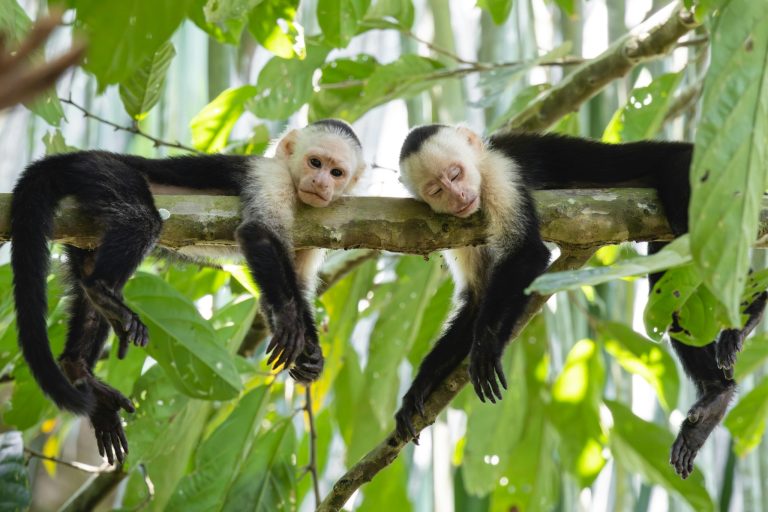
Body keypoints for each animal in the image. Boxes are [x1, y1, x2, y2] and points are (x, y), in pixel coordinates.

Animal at [10, 119, 366, 464]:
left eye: (336, 173)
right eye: (314, 162)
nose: (320, 182)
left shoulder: (318, 221)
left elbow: (291, 289)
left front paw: (310, 354)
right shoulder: (270, 176)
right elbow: (259, 232)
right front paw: (291, 323)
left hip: (82, 232)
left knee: (87, 275)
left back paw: (78, 366)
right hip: (100, 171)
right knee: (141, 218)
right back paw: (103, 292)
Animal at [393, 124, 767, 479]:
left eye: (456, 174)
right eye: (436, 190)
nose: (458, 196)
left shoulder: (501, 175)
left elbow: (528, 254)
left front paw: (487, 345)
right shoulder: (458, 228)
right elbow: (478, 299)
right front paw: (419, 388)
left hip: (692, 168)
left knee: (696, 234)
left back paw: (749, 312)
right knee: (669, 278)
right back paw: (715, 396)